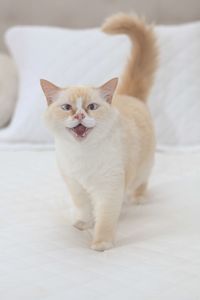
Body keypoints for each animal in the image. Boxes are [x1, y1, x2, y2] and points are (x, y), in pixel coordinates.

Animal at [40, 14, 158, 252]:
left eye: (92, 107)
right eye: (67, 107)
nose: (79, 115)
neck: (83, 154)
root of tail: (129, 95)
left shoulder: (109, 188)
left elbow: (105, 218)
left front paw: (101, 244)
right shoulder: (75, 184)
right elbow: (84, 208)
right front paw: (83, 224)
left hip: (144, 166)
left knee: (142, 181)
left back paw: (137, 198)